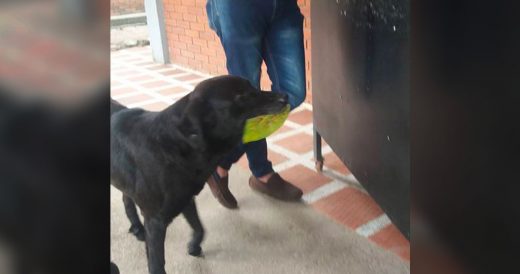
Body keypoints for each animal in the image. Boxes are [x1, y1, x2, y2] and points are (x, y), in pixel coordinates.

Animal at [110, 75, 288, 274]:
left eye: (252, 87)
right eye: (241, 96)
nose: (285, 96)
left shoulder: (186, 199)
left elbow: (200, 228)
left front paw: (194, 246)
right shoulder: (155, 222)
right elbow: (157, 264)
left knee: (126, 198)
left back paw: (136, 227)